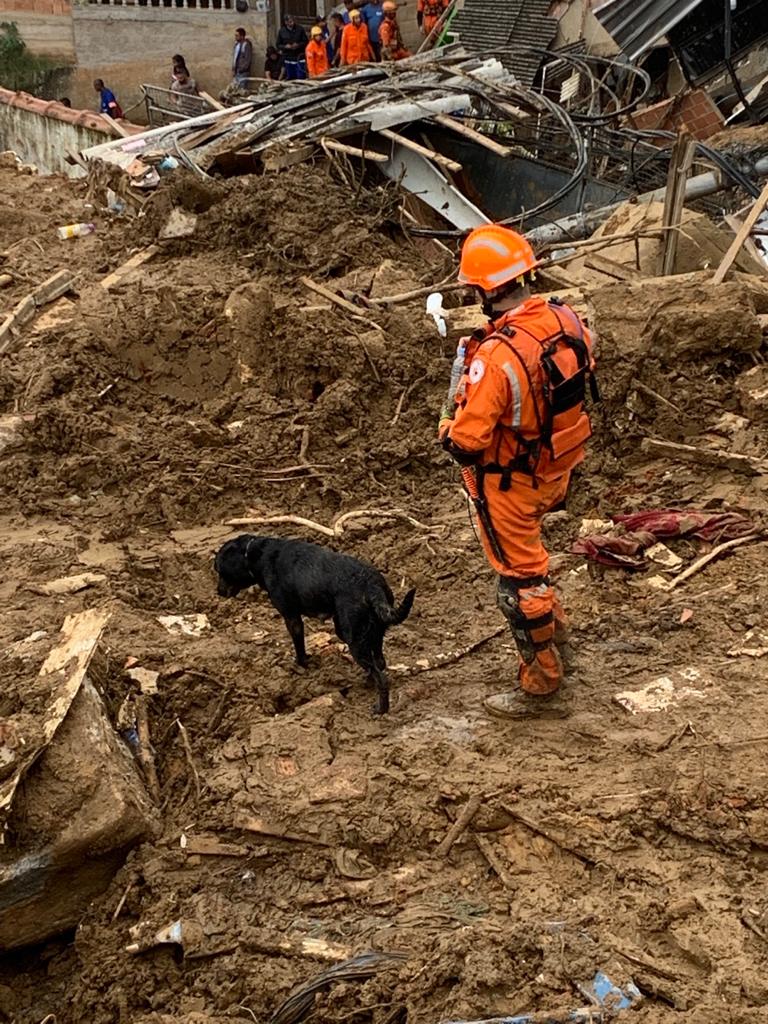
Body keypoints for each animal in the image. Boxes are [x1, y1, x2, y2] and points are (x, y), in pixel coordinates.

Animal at [214, 532, 417, 716]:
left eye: (219, 571)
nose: (218, 592)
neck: (254, 554)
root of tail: (371, 585)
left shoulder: (291, 617)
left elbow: (299, 646)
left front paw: (300, 665)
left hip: (352, 637)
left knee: (381, 677)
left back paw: (381, 709)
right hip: (371, 631)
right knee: (380, 663)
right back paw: (367, 682)